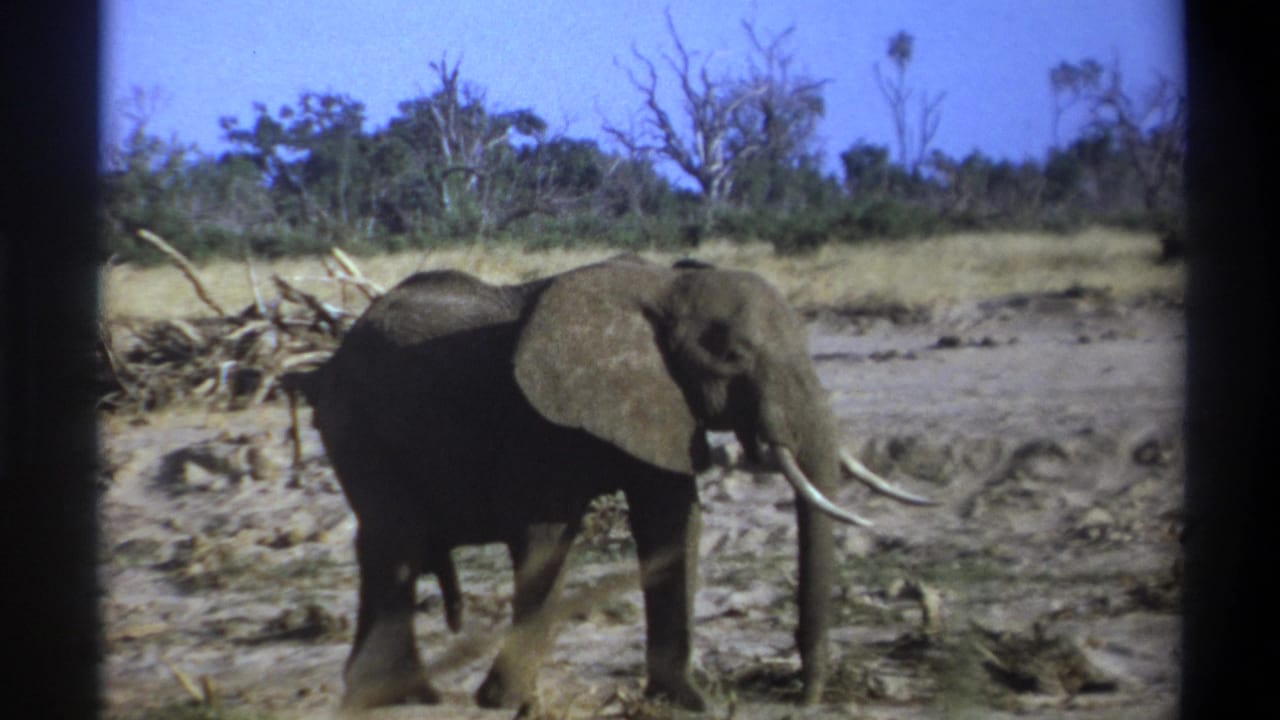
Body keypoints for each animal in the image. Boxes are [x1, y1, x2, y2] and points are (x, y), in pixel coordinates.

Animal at [291, 255, 932, 711]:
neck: (665, 287)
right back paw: (397, 697)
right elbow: (547, 536)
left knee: (385, 548)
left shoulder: (664, 405)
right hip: (357, 426)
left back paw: (393, 696)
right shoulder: (536, 419)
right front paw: (505, 702)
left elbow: (672, 524)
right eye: (731, 356)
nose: (807, 700)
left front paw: (688, 701)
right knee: (395, 543)